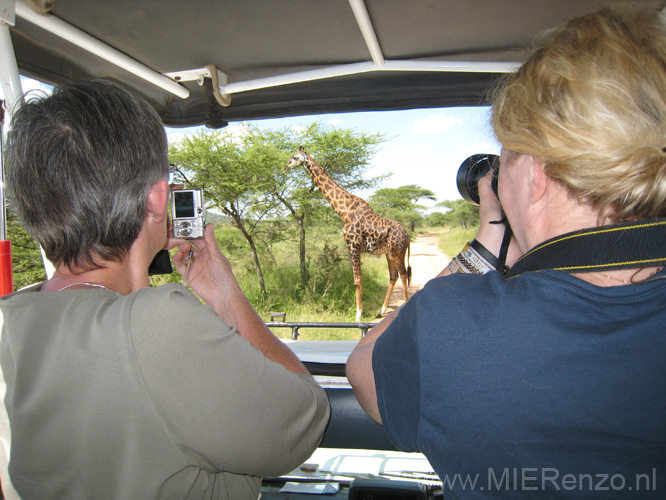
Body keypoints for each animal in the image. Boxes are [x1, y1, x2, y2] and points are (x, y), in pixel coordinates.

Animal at [286, 147, 410, 320]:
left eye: (295, 157)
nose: (286, 165)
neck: (343, 212)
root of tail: (407, 236)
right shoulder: (354, 247)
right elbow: (359, 279)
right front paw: (360, 312)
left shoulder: (353, 245)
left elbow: (357, 280)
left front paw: (358, 315)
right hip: (390, 253)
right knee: (394, 276)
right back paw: (381, 311)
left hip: (398, 252)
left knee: (404, 275)